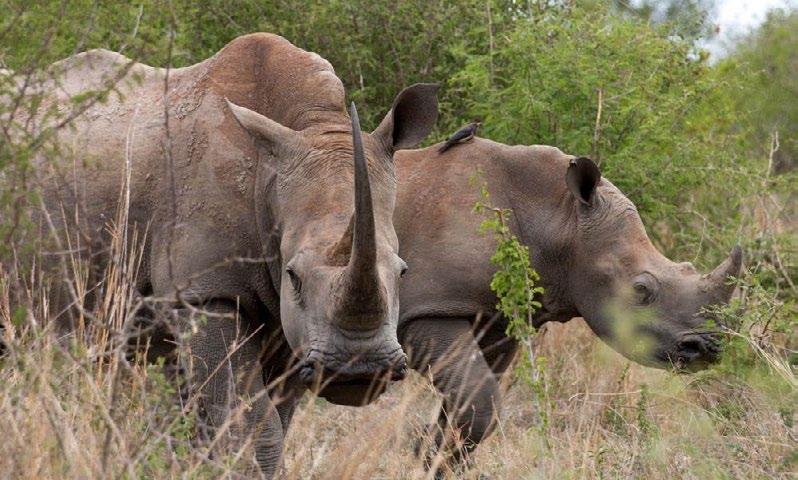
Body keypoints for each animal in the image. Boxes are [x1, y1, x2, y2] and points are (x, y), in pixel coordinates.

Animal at [18, 34, 440, 476]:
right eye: (294, 276)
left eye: (403, 271)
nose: (358, 369)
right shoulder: (204, 294)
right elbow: (250, 424)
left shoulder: (293, 325)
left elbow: (271, 420)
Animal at [392, 139, 744, 472]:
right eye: (641, 289)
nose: (709, 349)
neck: (556, 217)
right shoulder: (426, 307)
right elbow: (478, 396)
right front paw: (425, 457)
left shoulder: (496, 316)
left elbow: (468, 396)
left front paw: (426, 452)